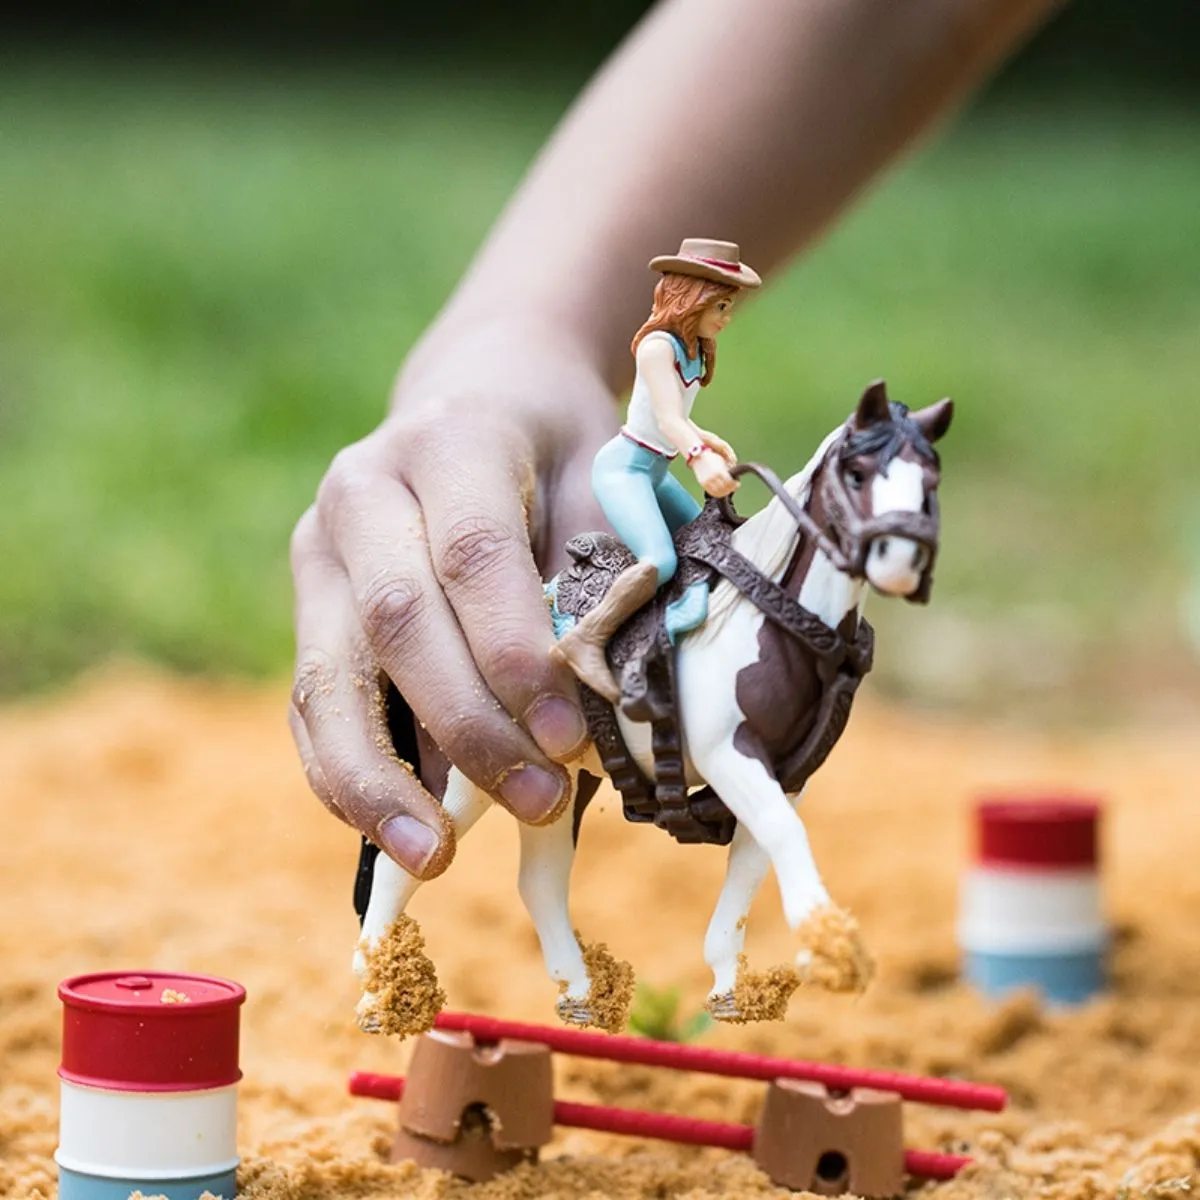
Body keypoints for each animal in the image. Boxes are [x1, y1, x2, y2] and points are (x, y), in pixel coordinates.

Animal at [350, 379, 950, 1027]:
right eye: (858, 474)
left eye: (931, 478)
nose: (899, 564)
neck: (763, 615)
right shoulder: (729, 756)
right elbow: (782, 834)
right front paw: (834, 948)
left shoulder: (786, 777)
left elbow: (755, 858)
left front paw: (733, 986)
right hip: (469, 777)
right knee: (406, 862)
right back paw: (376, 992)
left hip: (559, 782)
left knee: (540, 880)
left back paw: (581, 996)